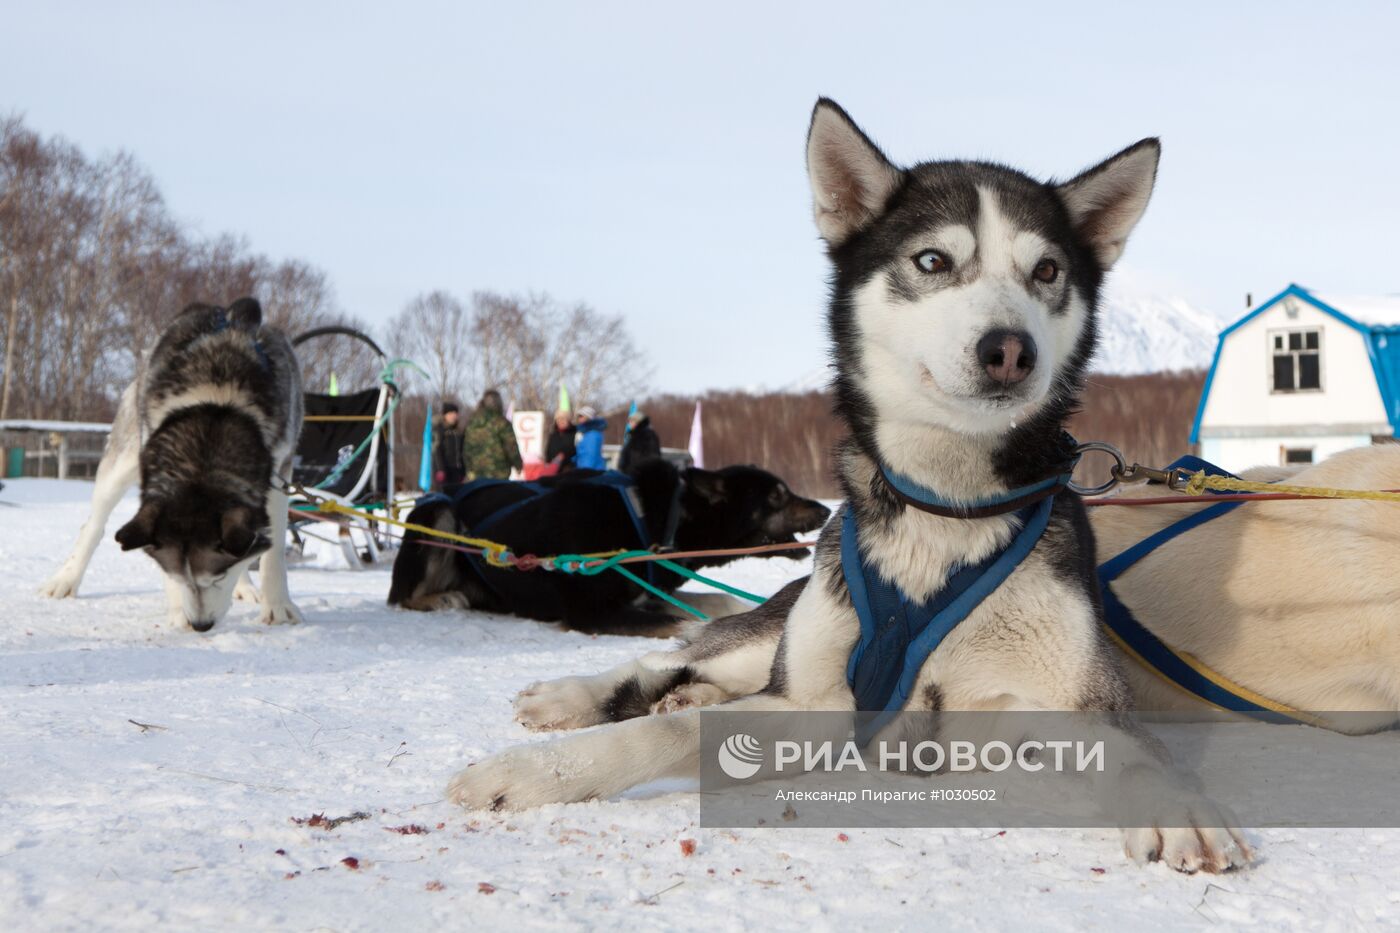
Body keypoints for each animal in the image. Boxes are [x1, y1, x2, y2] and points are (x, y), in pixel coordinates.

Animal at [42, 298, 305, 633]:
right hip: (118, 468)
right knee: (93, 526)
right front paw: (179, 609)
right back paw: (65, 579)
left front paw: (278, 606)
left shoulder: (278, 476)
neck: (216, 406)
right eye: (178, 574)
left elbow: (271, 552)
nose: (201, 625)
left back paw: (246, 586)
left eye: (219, 575)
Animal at [448, 101, 1260, 874]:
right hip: (770, 634)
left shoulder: (1071, 704)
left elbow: (1137, 752)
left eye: (1049, 272)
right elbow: (667, 730)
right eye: (932, 259)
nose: (1009, 350)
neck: (943, 507)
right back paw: (574, 695)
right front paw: (536, 771)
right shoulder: (805, 701)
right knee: (670, 656)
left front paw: (1174, 802)